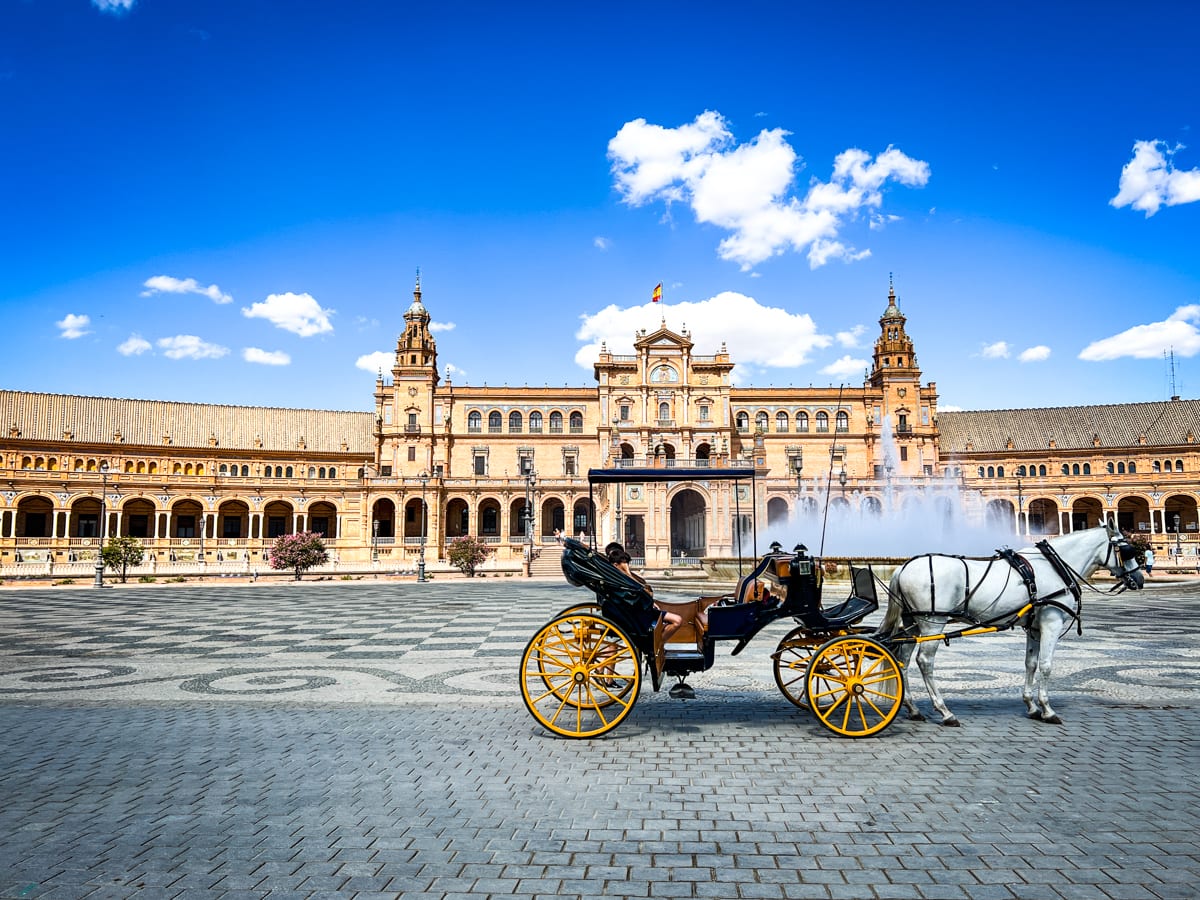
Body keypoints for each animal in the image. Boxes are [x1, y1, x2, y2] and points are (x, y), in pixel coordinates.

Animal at [883, 525, 1142, 729]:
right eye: (1126, 549)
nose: (1139, 579)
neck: (1054, 566)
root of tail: (902, 567)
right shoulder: (1051, 621)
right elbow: (1046, 665)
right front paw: (1048, 710)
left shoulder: (1034, 627)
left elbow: (1031, 663)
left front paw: (1032, 706)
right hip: (932, 623)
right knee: (925, 661)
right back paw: (945, 712)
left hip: (913, 624)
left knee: (903, 660)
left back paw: (913, 708)